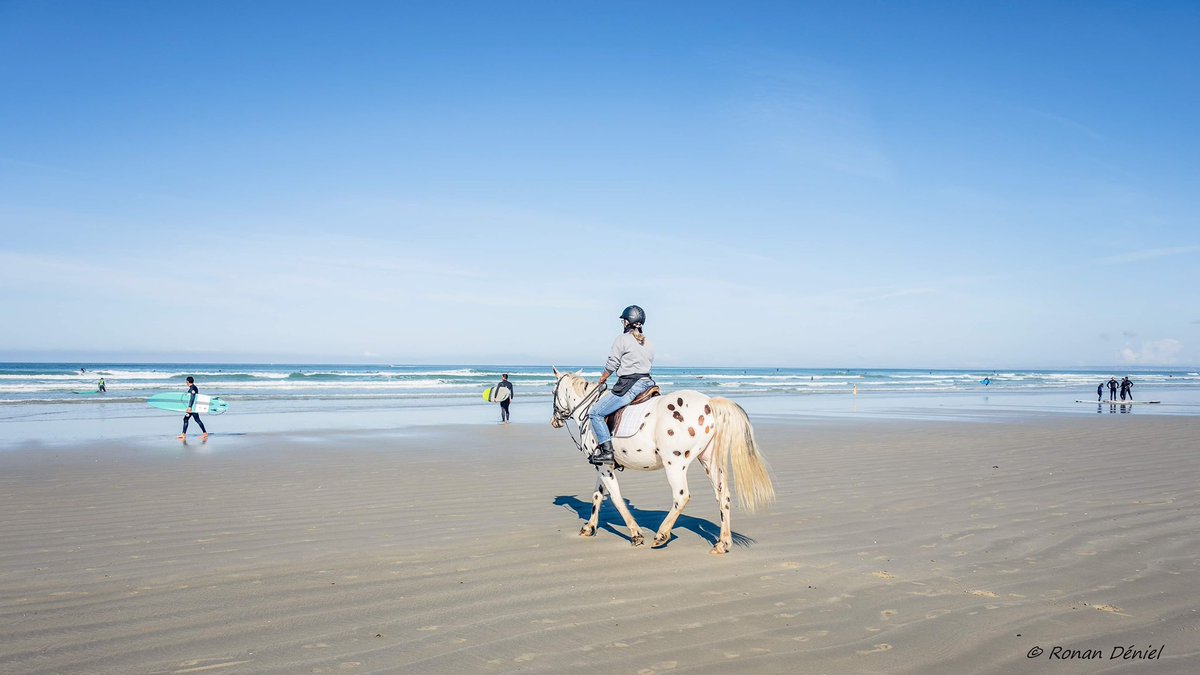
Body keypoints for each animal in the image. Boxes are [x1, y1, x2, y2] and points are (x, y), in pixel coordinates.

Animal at [550, 368, 775, 554]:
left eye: (553, 391)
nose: (554, 421)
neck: (589, 411)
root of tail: (709, 404)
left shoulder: (603, 465)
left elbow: (615, 498)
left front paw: (636, 534)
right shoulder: (603, 466)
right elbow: (597, 495)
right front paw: (589, 528)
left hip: (674, 463)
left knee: (682, 496)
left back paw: (661, 535)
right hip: (708, 461)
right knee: (723, 497)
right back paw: (722, 543)